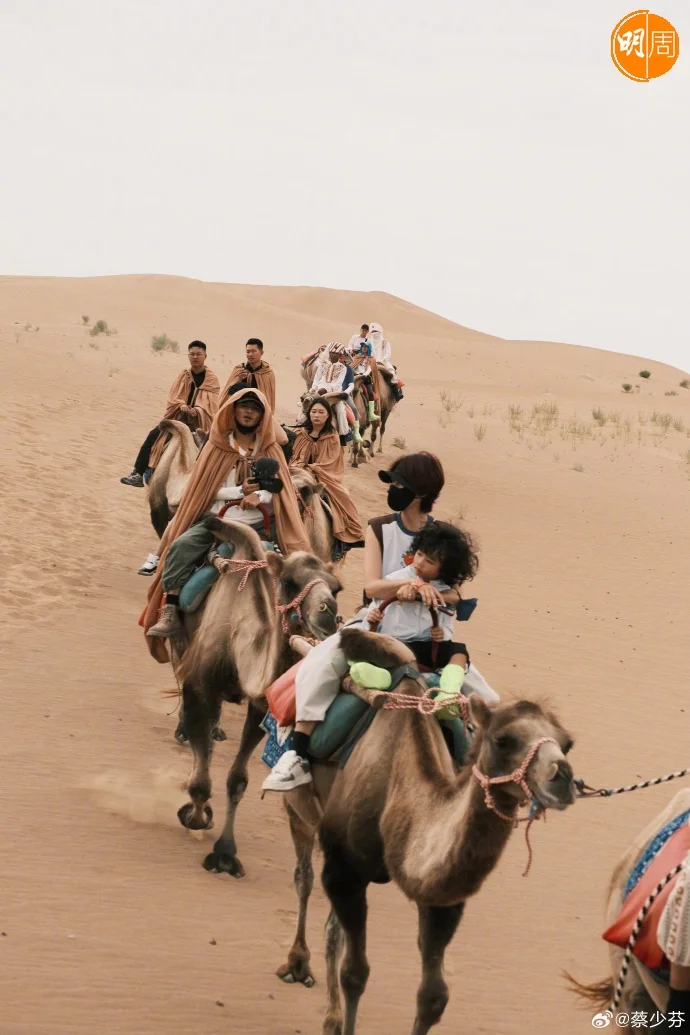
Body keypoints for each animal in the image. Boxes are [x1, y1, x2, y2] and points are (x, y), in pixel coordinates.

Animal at [173, 521, 343, 877]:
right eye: (289, 583)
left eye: (337, 589)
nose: (328, 614)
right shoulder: (201, 687)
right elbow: (201, 782)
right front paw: (195, 817)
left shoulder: (260, 706)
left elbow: (238, 780)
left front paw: (225, 853)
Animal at [275, 625, 579, 1030]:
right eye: (503, 740)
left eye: (567, 744)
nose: (563, 778)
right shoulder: (344, 869)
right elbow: (354, 973)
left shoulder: (440, 899)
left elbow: (433, 997)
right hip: (301, 807)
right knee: (304, 876)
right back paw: (298, 964)